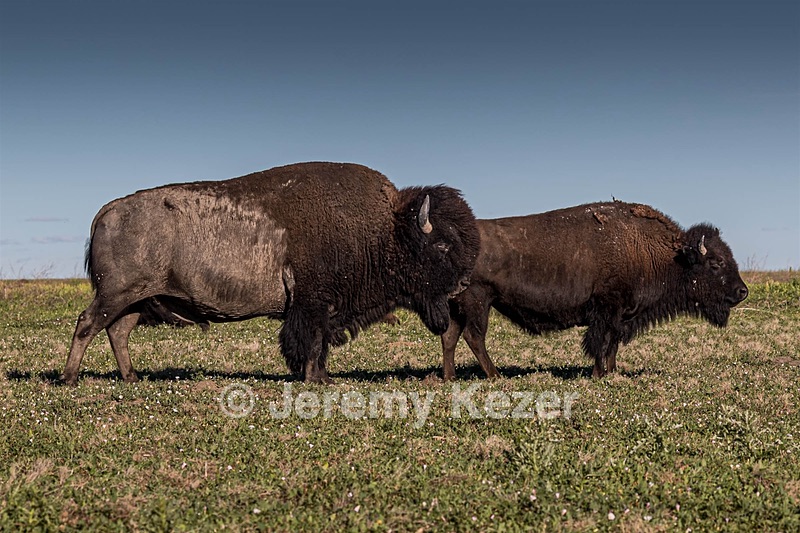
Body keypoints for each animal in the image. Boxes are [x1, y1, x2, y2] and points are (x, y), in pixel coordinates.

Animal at [63, 162, 479, 385]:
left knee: (116, 332)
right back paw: (69, 378)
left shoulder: (323, 309)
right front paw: (313, 379)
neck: (386, 228)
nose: (463, 283)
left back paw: (131, 377)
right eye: (442, 245)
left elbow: (320, 345)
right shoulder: (312, 304)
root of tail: (107, 211)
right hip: (116, 294)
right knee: (86, 324)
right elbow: (310, 342)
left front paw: (323, 377)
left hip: (136, 299)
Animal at [441, 202, 748, 379]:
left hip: (458, 306)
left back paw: (449, 377)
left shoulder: (621, 316)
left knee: (450, 337)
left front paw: (612, 373)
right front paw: (599, 374)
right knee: (474, 337)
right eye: (716, 263)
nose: (742, 292)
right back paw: (495, 376)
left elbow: (613, 344)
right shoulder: (606, 310)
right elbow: (601, 342)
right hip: (478, 301)